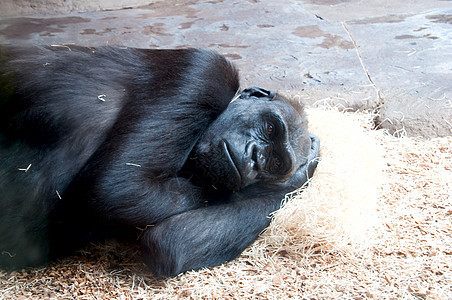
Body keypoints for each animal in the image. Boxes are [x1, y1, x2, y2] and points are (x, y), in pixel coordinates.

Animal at [0, 45, 318, 276]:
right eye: (270, 128)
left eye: (275, 163)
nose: (255, 157)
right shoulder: (204, 75)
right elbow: (120, 188)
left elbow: (171, 243)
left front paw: (293, 179)